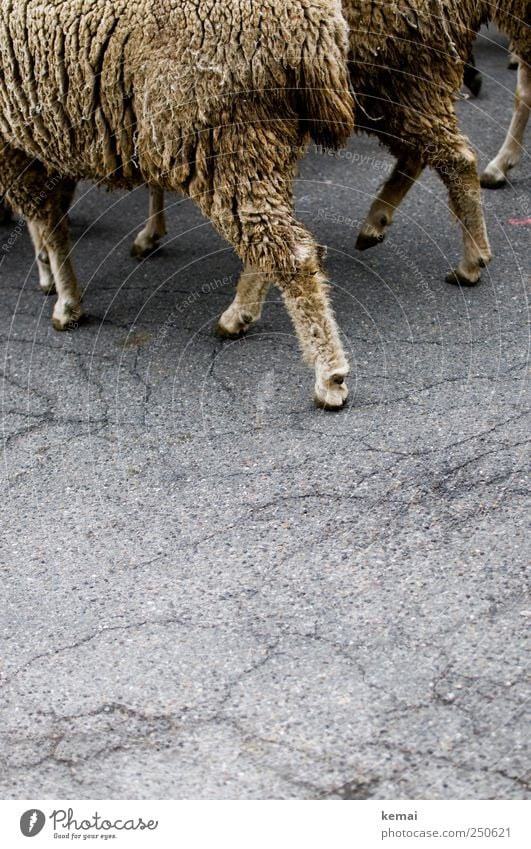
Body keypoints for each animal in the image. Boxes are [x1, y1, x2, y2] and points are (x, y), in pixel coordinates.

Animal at [2, 0, 358, 410]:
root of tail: (316, 29)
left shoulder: (16, 141)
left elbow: (50, 224)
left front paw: (65, 300)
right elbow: (50, 221)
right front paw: (50, 276)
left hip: (226, 140)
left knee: (292, 254)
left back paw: (329, 375)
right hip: (265, 146)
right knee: (274, 242)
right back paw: (239, 314)